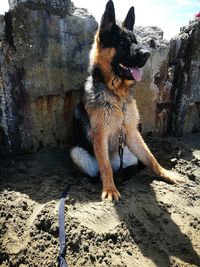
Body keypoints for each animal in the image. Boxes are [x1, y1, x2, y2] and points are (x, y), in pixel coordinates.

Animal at [70, 0, 183, 201]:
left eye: (136, 42)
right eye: (122, 43)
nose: (146, 54)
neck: (117, 96)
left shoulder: (131, 132)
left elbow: (151, 157)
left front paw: (165, 173)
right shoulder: (100, 135)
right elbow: (105, 166)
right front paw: (110, 189)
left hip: (129, 150)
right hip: (77, 152)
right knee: (99, 171)